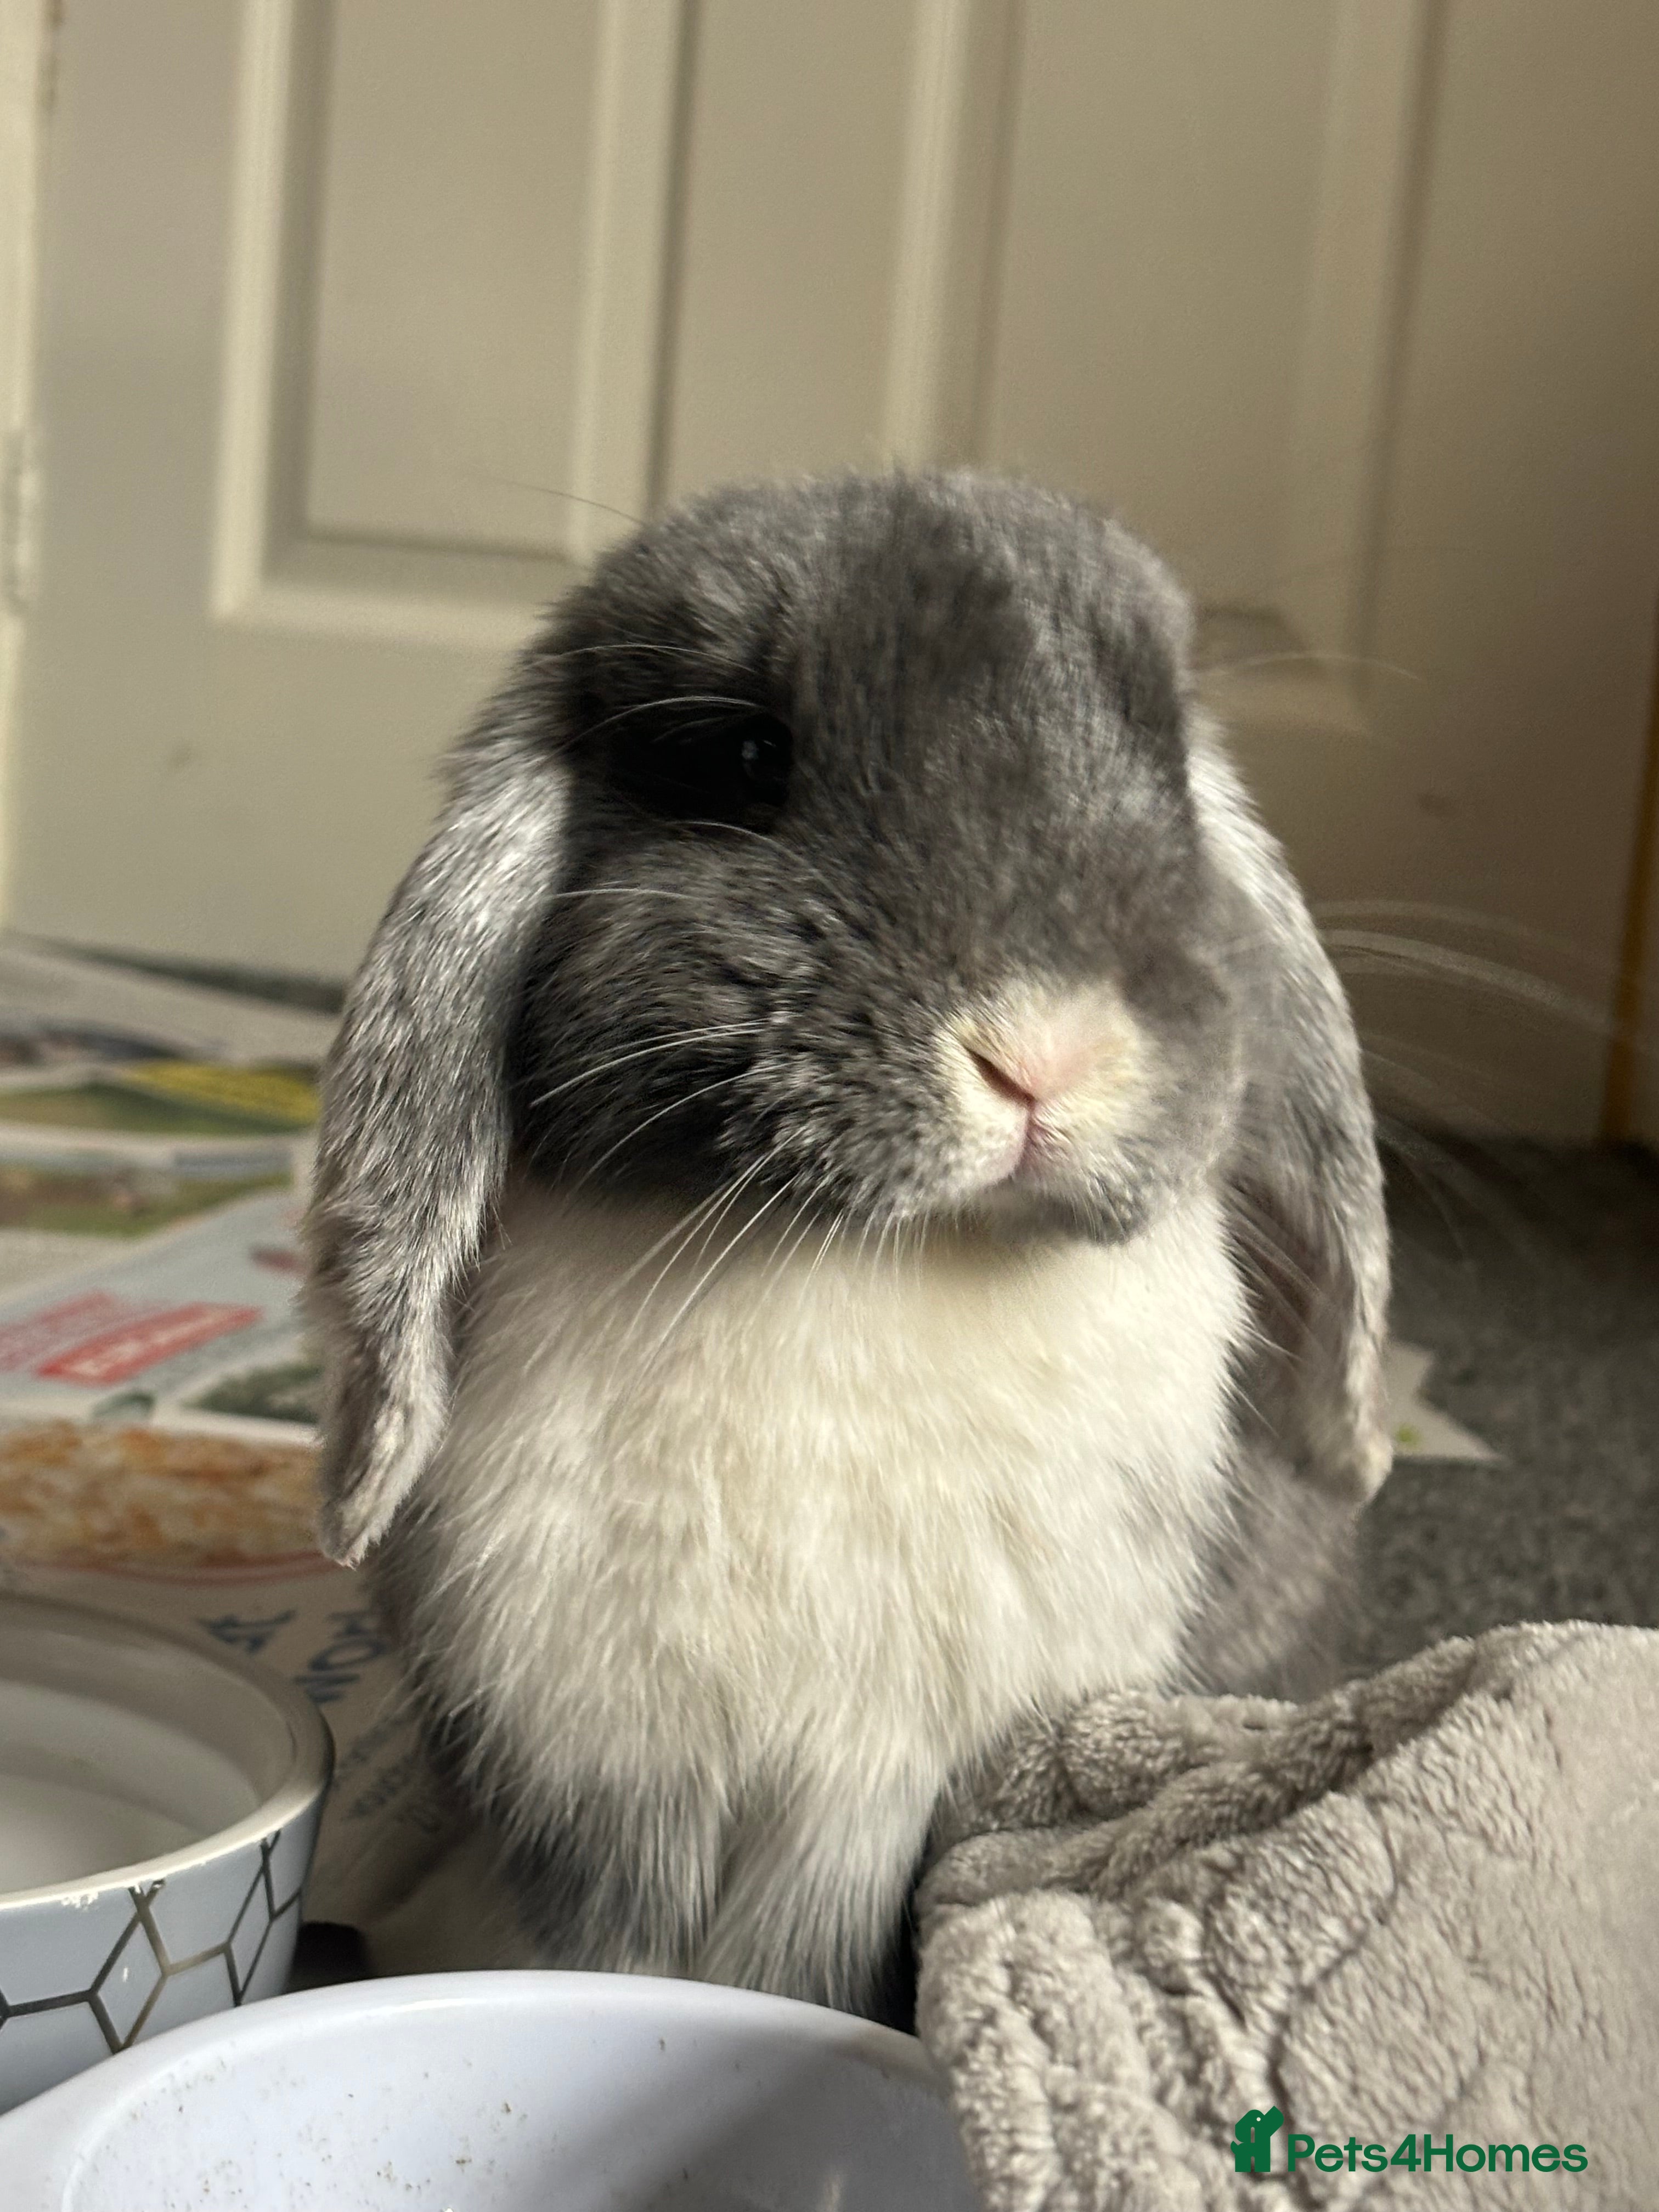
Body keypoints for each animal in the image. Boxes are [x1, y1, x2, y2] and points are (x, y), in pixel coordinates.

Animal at [306, 470, 1391, 2021]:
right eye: (736, 758)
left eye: (1169, 767)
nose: (1046, 1052)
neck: (884, 1263)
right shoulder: (606, 1784)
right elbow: (616, 1951)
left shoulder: (878, 1801)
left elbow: (810, 1962)